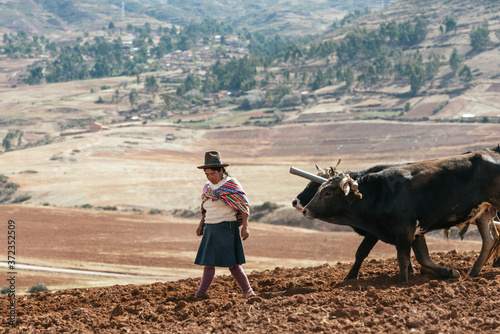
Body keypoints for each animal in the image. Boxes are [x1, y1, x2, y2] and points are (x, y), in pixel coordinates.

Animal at [292, 146, 500, 282]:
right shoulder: (415, 232)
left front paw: (401, 281)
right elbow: (423, 258)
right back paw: (473, 273)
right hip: (484, 212)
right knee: (490, 239)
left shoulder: (402, 229)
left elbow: (397, 256)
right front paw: (450, 272)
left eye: (325, 191)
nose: (302, 207)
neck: (379, 192)